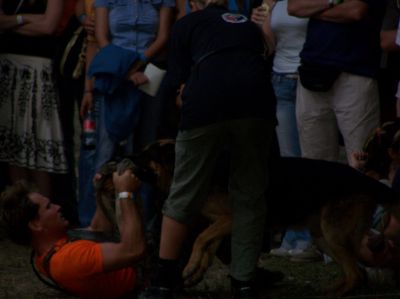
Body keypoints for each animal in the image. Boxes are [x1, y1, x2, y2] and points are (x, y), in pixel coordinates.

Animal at [93, 139, 400, 298]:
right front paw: (195, 271)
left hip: (332, 234)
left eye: (145, 155)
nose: (119, 157)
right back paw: (328, 291)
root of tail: (369, 180)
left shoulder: (229, 219)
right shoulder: (219, 224)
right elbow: (209, 246)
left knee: (356, 274)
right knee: (355, 273)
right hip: (323, 237)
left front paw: (190, 266)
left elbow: (201, 239)